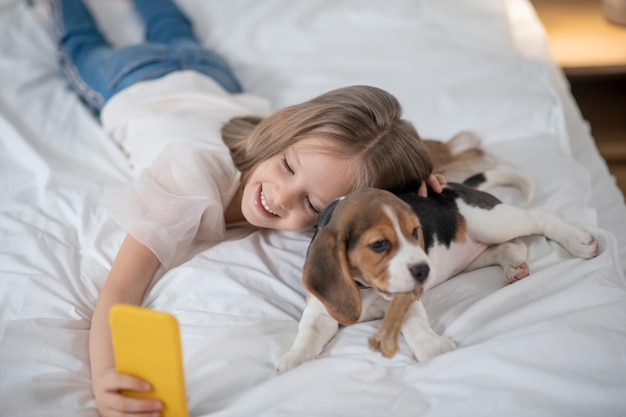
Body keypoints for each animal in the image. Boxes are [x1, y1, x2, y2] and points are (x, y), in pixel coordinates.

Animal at [276, 169, 596, 370]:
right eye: (379, 244)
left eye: (416, 231)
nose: (423, 270)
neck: (366, 287)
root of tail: (455, 186)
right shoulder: (320, 310)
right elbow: (308, 331)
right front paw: (295, 356)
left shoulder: (407, 298)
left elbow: (416, 325)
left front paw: (431, 346)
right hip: (469, 254)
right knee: (511, 247)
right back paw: (513, 266)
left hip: (493, 222)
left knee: (538, 217)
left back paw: (577, 240)